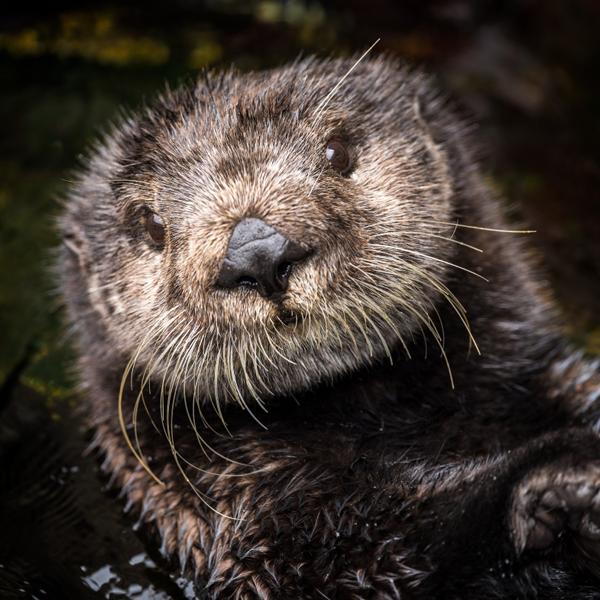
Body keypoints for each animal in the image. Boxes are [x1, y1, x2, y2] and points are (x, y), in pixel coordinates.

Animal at [57, 55, 600, 596]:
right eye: (150, 224)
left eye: (338, 152)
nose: (256, 252)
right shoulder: (251, 515)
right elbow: (382, 557)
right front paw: (559, 477)